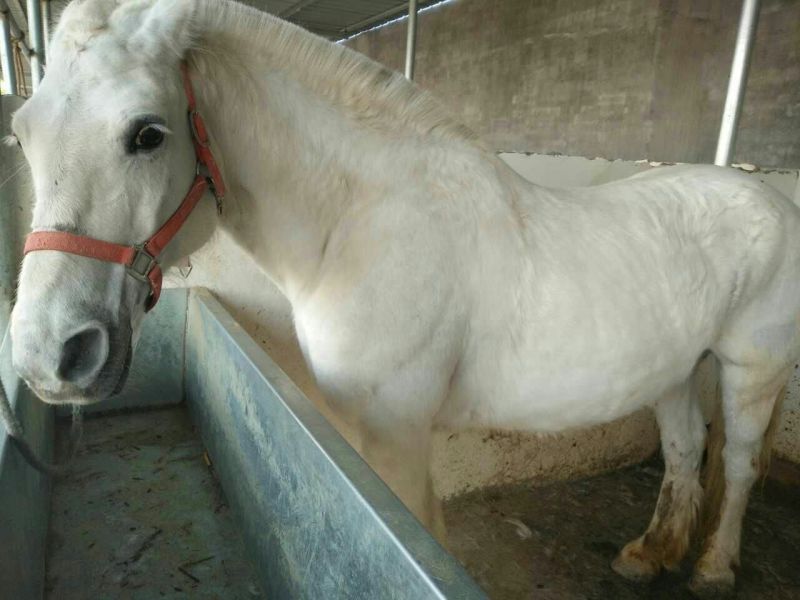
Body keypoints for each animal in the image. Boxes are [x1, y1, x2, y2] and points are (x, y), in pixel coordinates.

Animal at [9, 0, 800, 595]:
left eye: (147, 133)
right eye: (21, 134)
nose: (51, 354)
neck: (360, 222)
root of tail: (766, 194)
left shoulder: (398, 432)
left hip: (750, 370)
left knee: (735, 464)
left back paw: (714, 568)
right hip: (674, 369)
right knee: (684, 449)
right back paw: (649, 553)